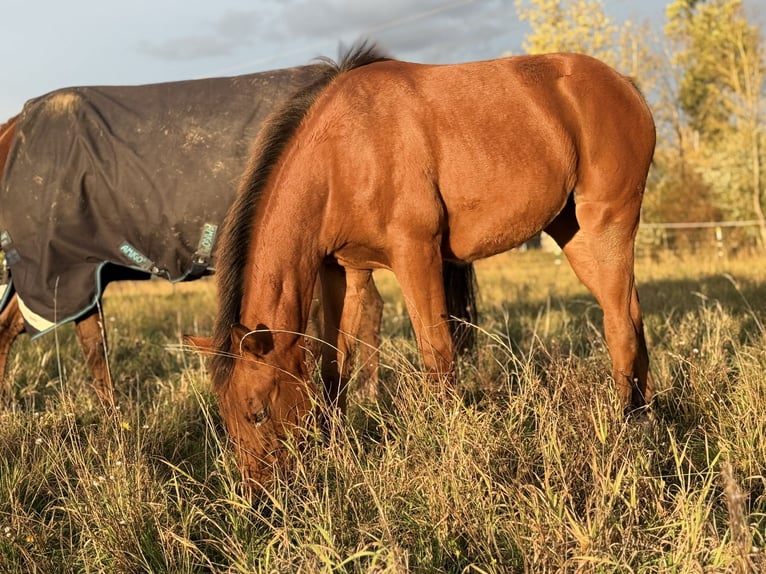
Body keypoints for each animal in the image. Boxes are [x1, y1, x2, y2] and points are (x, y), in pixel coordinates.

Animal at [189, 42, 656, 488]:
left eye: (258, 411)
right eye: (227, 417)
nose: (261, 497)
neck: (344, 151)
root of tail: (625, 85)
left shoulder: (417, 254)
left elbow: (437, 357)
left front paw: (450, 452)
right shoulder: (345, 272)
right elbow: (334, 366)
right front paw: (334, 450)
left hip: (608, 223)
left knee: (619, 324)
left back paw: (624, 424)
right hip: (573, 234)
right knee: (631, 313)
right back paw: (645, 412)